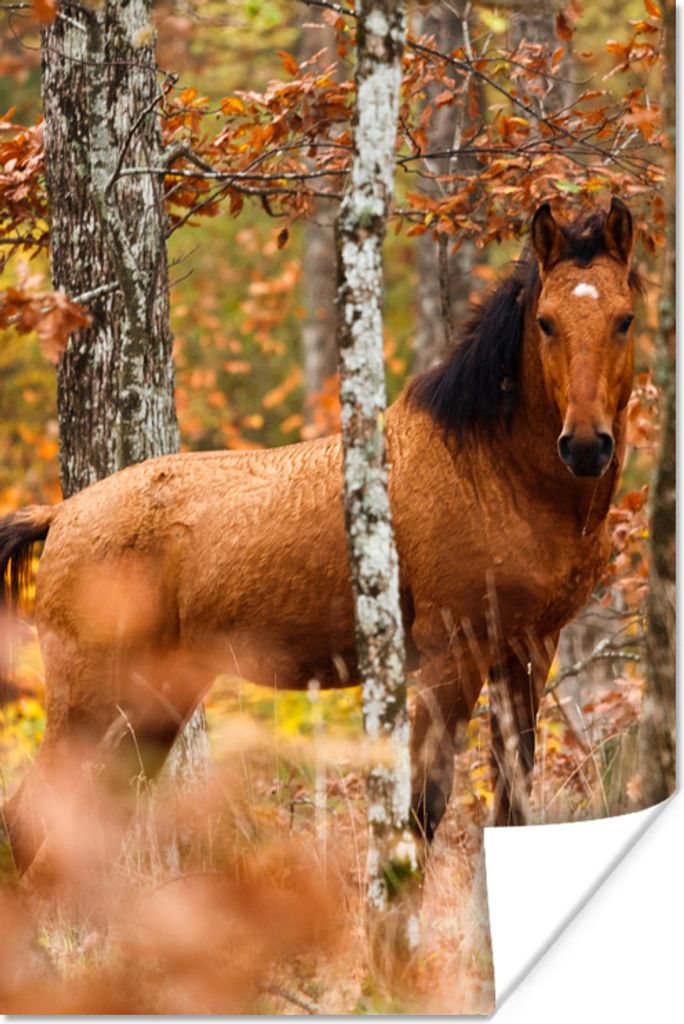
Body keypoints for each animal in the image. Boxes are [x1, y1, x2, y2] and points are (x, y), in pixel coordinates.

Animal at [0, 198, 639, 874]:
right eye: (546, 322)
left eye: (624, 319)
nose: (587, 445)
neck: (490, 471)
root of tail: (61, 515)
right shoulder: (452, 654)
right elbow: (423, 808)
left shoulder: (528, 651)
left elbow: (511, 803)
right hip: (88, 700)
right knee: (30, 818)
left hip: (156, 698)